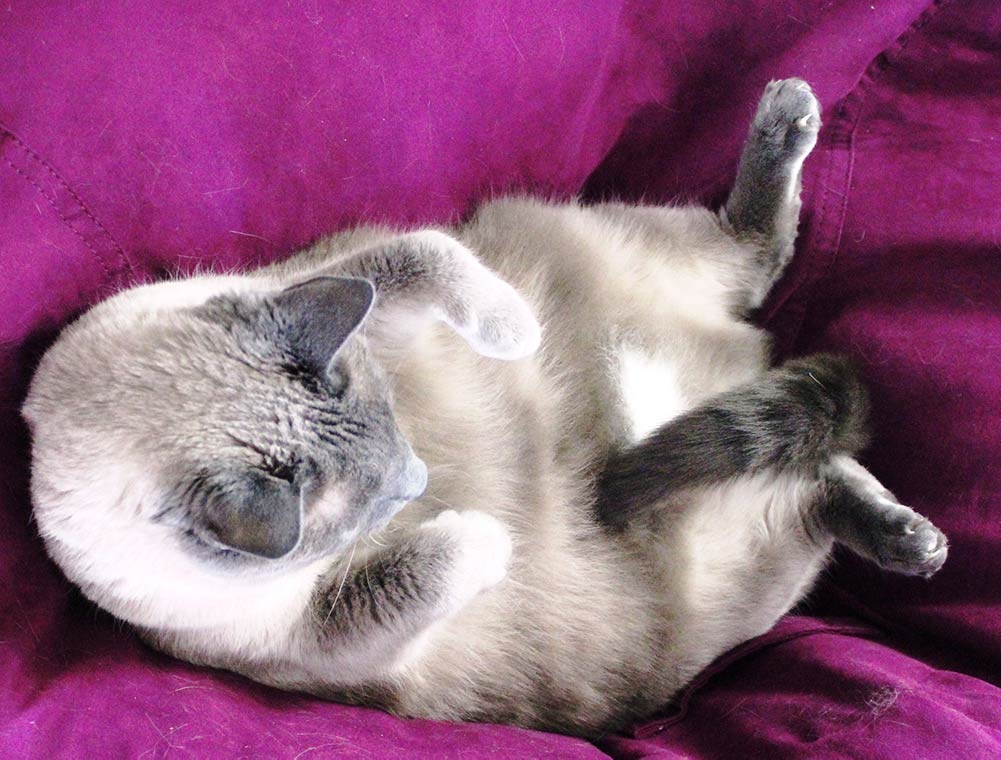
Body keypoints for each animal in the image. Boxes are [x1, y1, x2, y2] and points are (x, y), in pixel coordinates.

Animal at [23, 80, 944, 740]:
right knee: (813, 474)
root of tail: (744, 353)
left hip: (638, 240)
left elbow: (435, 258)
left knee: (756, 256)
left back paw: (788, 112)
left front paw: (519, 335)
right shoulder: (330, 633)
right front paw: (498, 530)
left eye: (397, 434)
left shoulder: (365, 284)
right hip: (741, 570)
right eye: (378, 506)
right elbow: (447, 556)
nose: (420, 477)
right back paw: (912, 541)